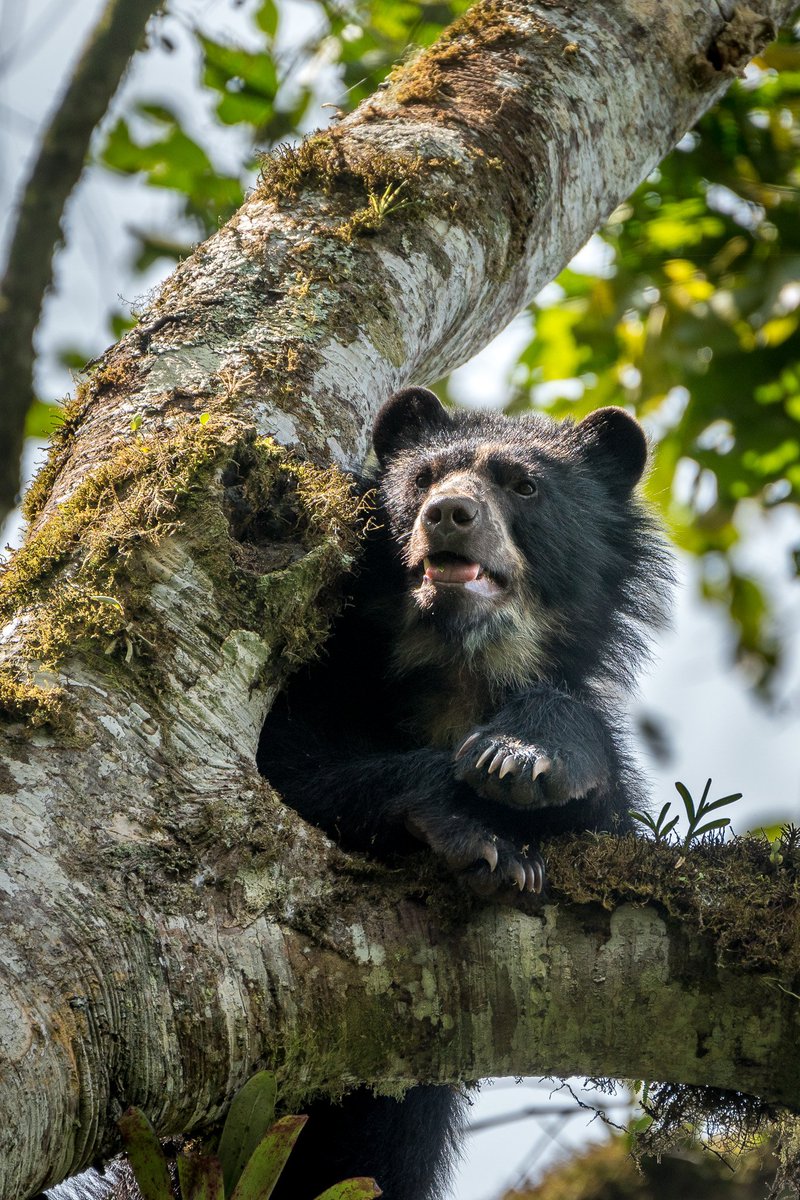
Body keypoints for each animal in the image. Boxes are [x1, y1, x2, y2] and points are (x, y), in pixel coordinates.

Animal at [256, 386, 672, 1200]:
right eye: (423, 479)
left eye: (524, 487)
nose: (449, 513)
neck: (456, 671)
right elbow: (284, 765)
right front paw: (480, 836)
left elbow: (611, 838)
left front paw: (521, 758)